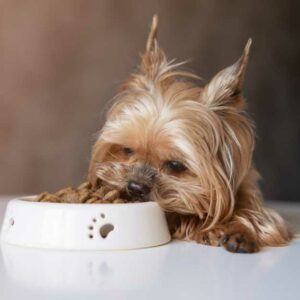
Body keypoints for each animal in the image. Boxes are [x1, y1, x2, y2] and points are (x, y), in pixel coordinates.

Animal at [87, 15, 292, 253]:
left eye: (176, 165)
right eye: (126, 150)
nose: (135, 187)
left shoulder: (252, 195)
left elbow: (261, 218)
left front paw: (239, 232)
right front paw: (207, 228)